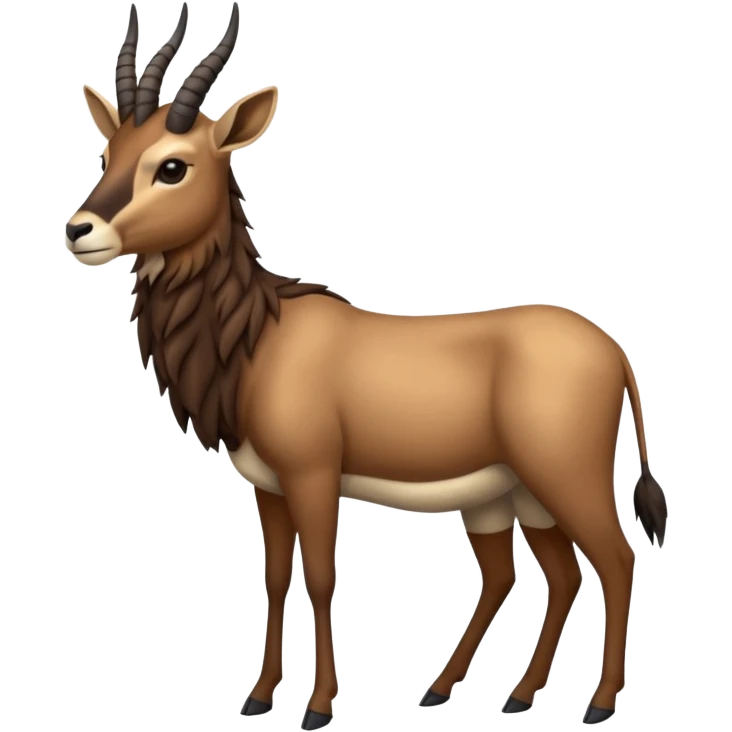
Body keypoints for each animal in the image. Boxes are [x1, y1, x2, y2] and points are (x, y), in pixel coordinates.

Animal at [66, 2, 668, 729]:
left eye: (172, 166)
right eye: (110, 154)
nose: (80, 231)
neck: (260, 337)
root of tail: (613, 350)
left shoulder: (314, 476)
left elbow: (323, 578)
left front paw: (318, 706)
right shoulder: (268, 487)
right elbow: (276, 577)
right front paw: (259, 697)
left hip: (565, 479)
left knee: (615, 559)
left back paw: (598, 705)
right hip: (510, 494)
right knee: (547, 573)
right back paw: (489, 694)